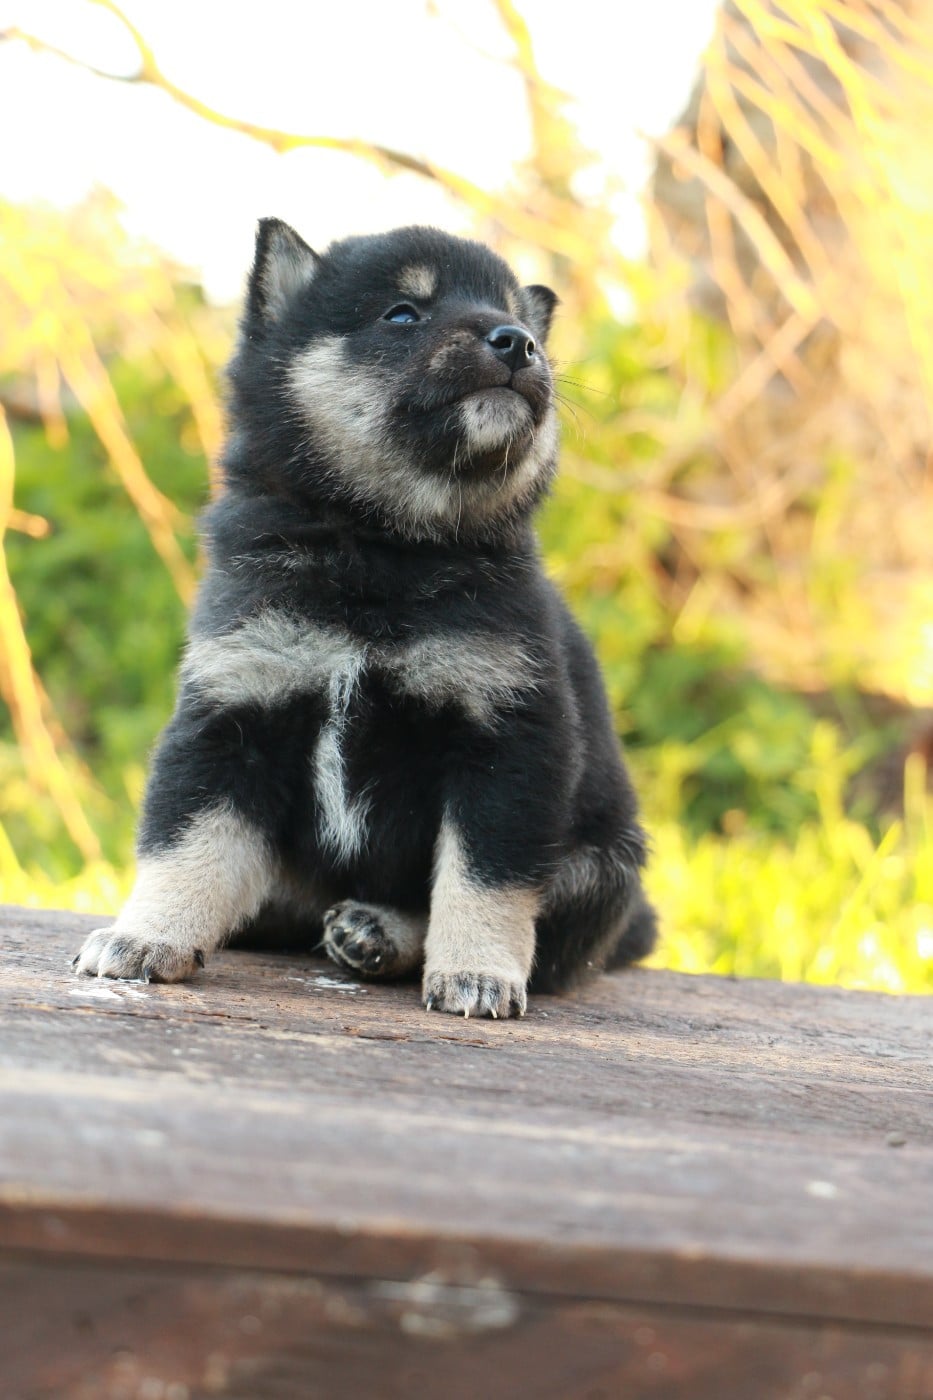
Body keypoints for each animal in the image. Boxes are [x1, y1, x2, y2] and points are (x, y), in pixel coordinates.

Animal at [73, 219, 658, 1017]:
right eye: (402, 314)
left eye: (520, 319)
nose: (518, 343)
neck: (382, 549)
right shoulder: (232, 711)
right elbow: (186, 844)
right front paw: (147, 936)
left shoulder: (508, 741)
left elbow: (482, 880)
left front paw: (478, 972)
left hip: (600, 867)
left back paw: (379, 931)